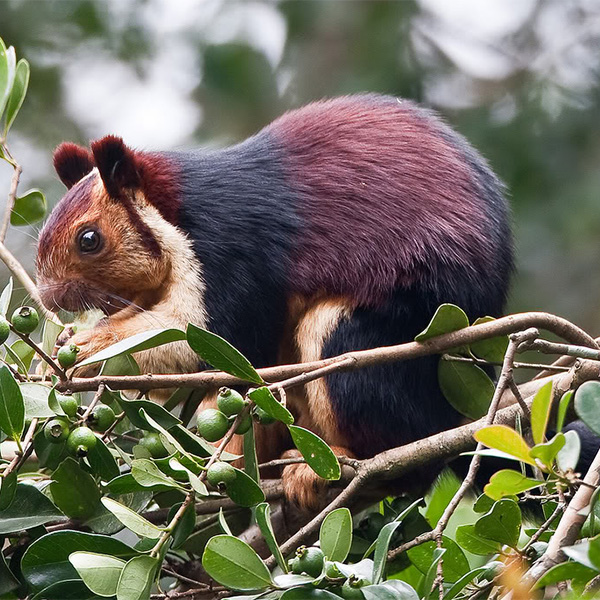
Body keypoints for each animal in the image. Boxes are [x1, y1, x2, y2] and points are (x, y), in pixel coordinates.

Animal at [37, 96, 512, 508]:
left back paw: (320, 465)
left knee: (405, 456)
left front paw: (85, 349)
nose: (46, 297)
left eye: (89, 239)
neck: (174, 212)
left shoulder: (233, 250)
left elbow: (218, 335)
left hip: (380, 334)